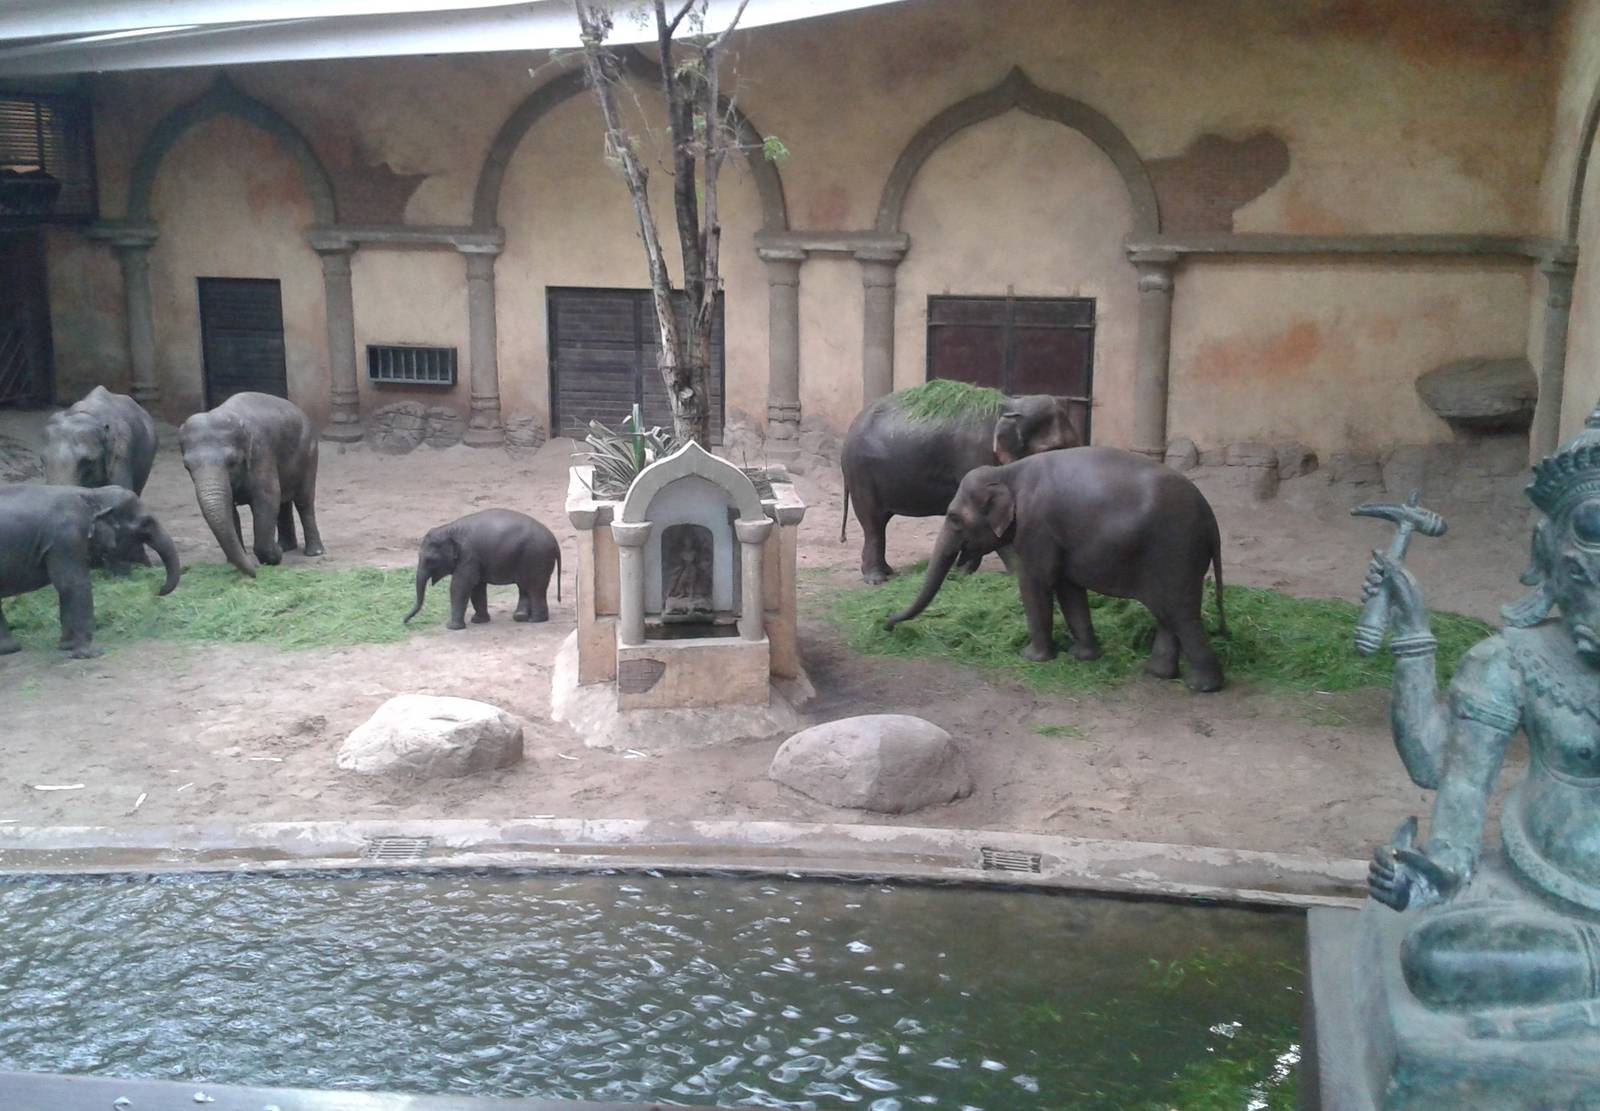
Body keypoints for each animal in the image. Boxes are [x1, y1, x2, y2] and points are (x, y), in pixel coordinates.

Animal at [0, 484, 181, 658]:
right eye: (146, 523)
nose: (157, 589)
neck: (93, 494)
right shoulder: (67, 538)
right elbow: (73, 584)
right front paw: (90, 653)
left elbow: (66, 588)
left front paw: (67, 646)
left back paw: (9, 648)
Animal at [179, 392, 324, 577]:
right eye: (187, 467)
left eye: (232, 462)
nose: (255, 572)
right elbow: (230, 510)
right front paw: (236, 562)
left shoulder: (261, 453)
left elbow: (267, 498)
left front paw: (272, 556)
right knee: (283, 502)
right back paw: (285, 547)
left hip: (308, 452)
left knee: (303, 500)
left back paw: (313, 552)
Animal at [403, 509, 562, 630]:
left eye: (430, 560)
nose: (404, 622)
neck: (449, 529)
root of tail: (555, 542)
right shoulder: (475, 560)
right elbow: (477, 587)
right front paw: (478, 621)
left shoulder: (469, 556)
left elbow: (460, 586)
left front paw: (452, 627)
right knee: (524, 587)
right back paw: (520, 617)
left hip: (536, 558)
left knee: (534, 588)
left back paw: (535, 620)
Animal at [841, 388, 1080, 584]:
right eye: (1052, 449)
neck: (1012, 406)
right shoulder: (976, 456)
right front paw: (1016, 576)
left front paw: (962, 574)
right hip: (861, 475)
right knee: (873, 522)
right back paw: (877, 579)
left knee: (879, 523)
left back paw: (888, 572)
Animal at [884, 446, 1228, 692]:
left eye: (954, 517)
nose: (887, 625)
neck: (1005, 472)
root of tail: (1211, 519)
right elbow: (1069, 589)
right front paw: (1083, 657)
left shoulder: (1037, 528)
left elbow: (1035, 583)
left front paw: (1031, 658)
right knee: (1166, 615)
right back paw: (1157, 675)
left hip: (1175, 551)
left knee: (1181, 614)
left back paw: (1202, 687)